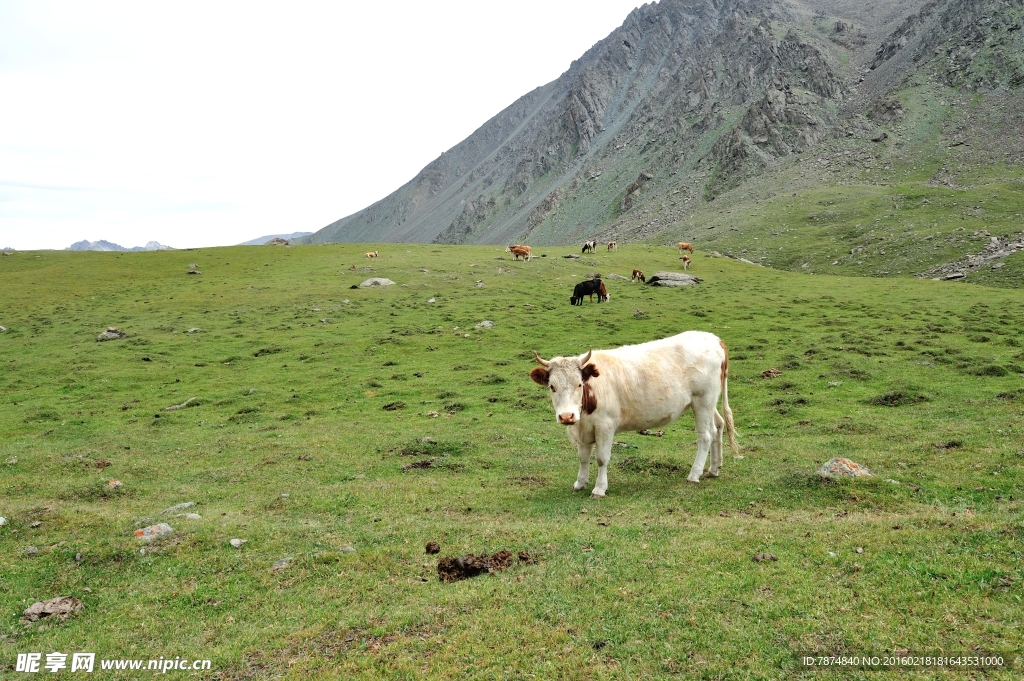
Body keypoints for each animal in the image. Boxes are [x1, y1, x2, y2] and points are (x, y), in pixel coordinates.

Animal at [532, 331, 741, 497]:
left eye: (579, 384)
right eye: (552, 386)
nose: (567, 416)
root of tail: (714, 339)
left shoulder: (605, 426)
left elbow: (601, 458)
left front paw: (599, 489)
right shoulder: (583, 428)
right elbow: (583, 457)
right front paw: (580, 483)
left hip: (703, 400)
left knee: (705, 436)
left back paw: (694, 474)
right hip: (709, 402)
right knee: (718, 426)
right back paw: (713, 469)